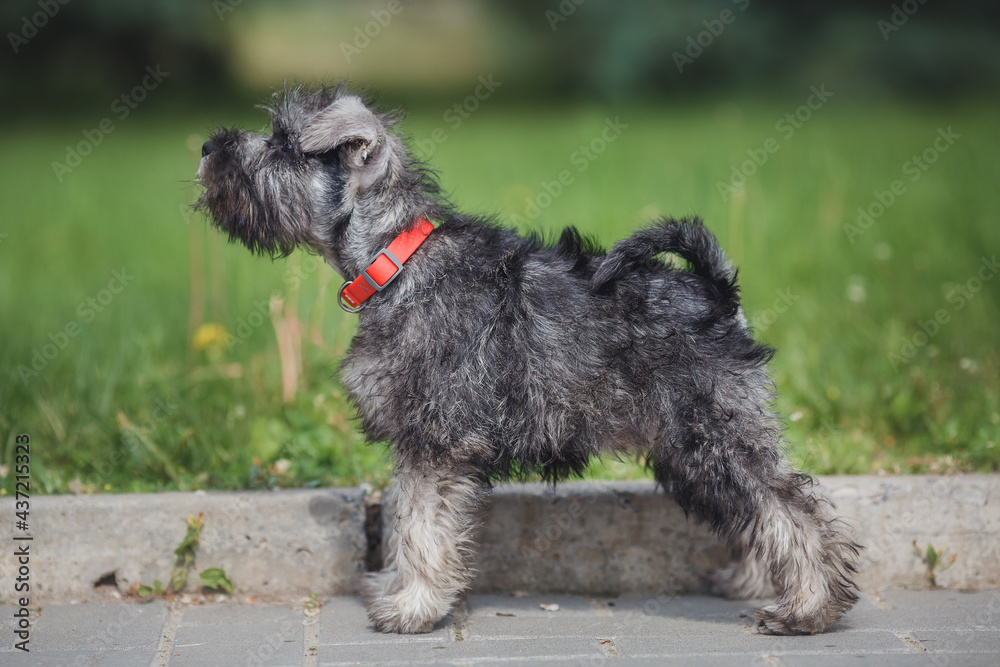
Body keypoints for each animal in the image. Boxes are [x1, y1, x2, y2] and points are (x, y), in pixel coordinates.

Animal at [195, 85, 860, 636]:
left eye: (284, 144)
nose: (206, 146)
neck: (396, 261)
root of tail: (718, 295)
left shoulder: (436, 443)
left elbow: (422, 530)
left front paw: (412, 608)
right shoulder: (418, 444)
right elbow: (407, 520)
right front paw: (396, 589)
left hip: (712, 436)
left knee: (795, 512)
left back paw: (807, 609)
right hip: (693, 452)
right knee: (756, 515)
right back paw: (756, 587)